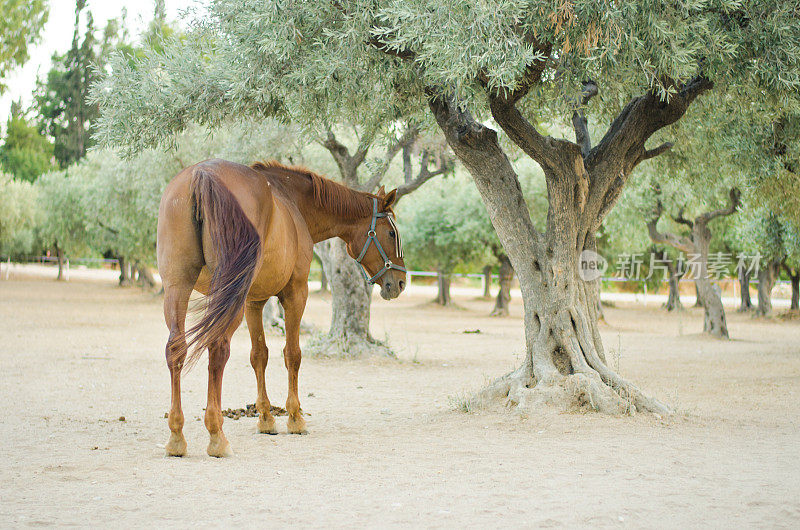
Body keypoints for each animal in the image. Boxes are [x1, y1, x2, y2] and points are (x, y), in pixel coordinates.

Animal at [158, 159, 406, 456]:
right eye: (391, 233)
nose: (400, 281)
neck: (291, 201)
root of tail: (203, 174)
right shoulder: (295, 293)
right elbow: (293, 354)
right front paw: (295, 418)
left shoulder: (254, 302)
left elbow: (259, 355)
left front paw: (266, 418)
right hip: (229, 300)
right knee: (217, 348)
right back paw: (217, 436)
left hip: (178, 287)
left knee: (176, 349)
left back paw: (176, 436)